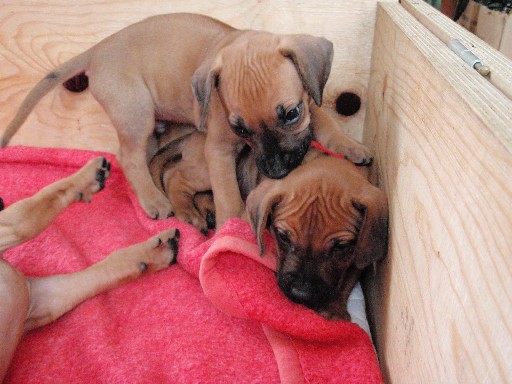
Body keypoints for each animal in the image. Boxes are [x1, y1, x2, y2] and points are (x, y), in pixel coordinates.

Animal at [2, 13, 374, 226]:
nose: (277, 171)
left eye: (292, 113)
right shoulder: (220, 150)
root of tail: (96, 51)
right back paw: (155, 201)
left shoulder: (310, 99)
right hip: (135, 115)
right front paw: (233, 229)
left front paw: (351, 146)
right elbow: (228, 196)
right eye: (240, 128)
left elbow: (326, 123)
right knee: (132, 159)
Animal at [149, 124, 388, 320]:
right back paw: (187, 210)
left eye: (341, 246)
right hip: (209, 170)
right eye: (282, 236)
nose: (301, 294)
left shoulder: (362, 249)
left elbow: (350, 276)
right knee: (174, 176)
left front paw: (334, 308)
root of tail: (194, 134)